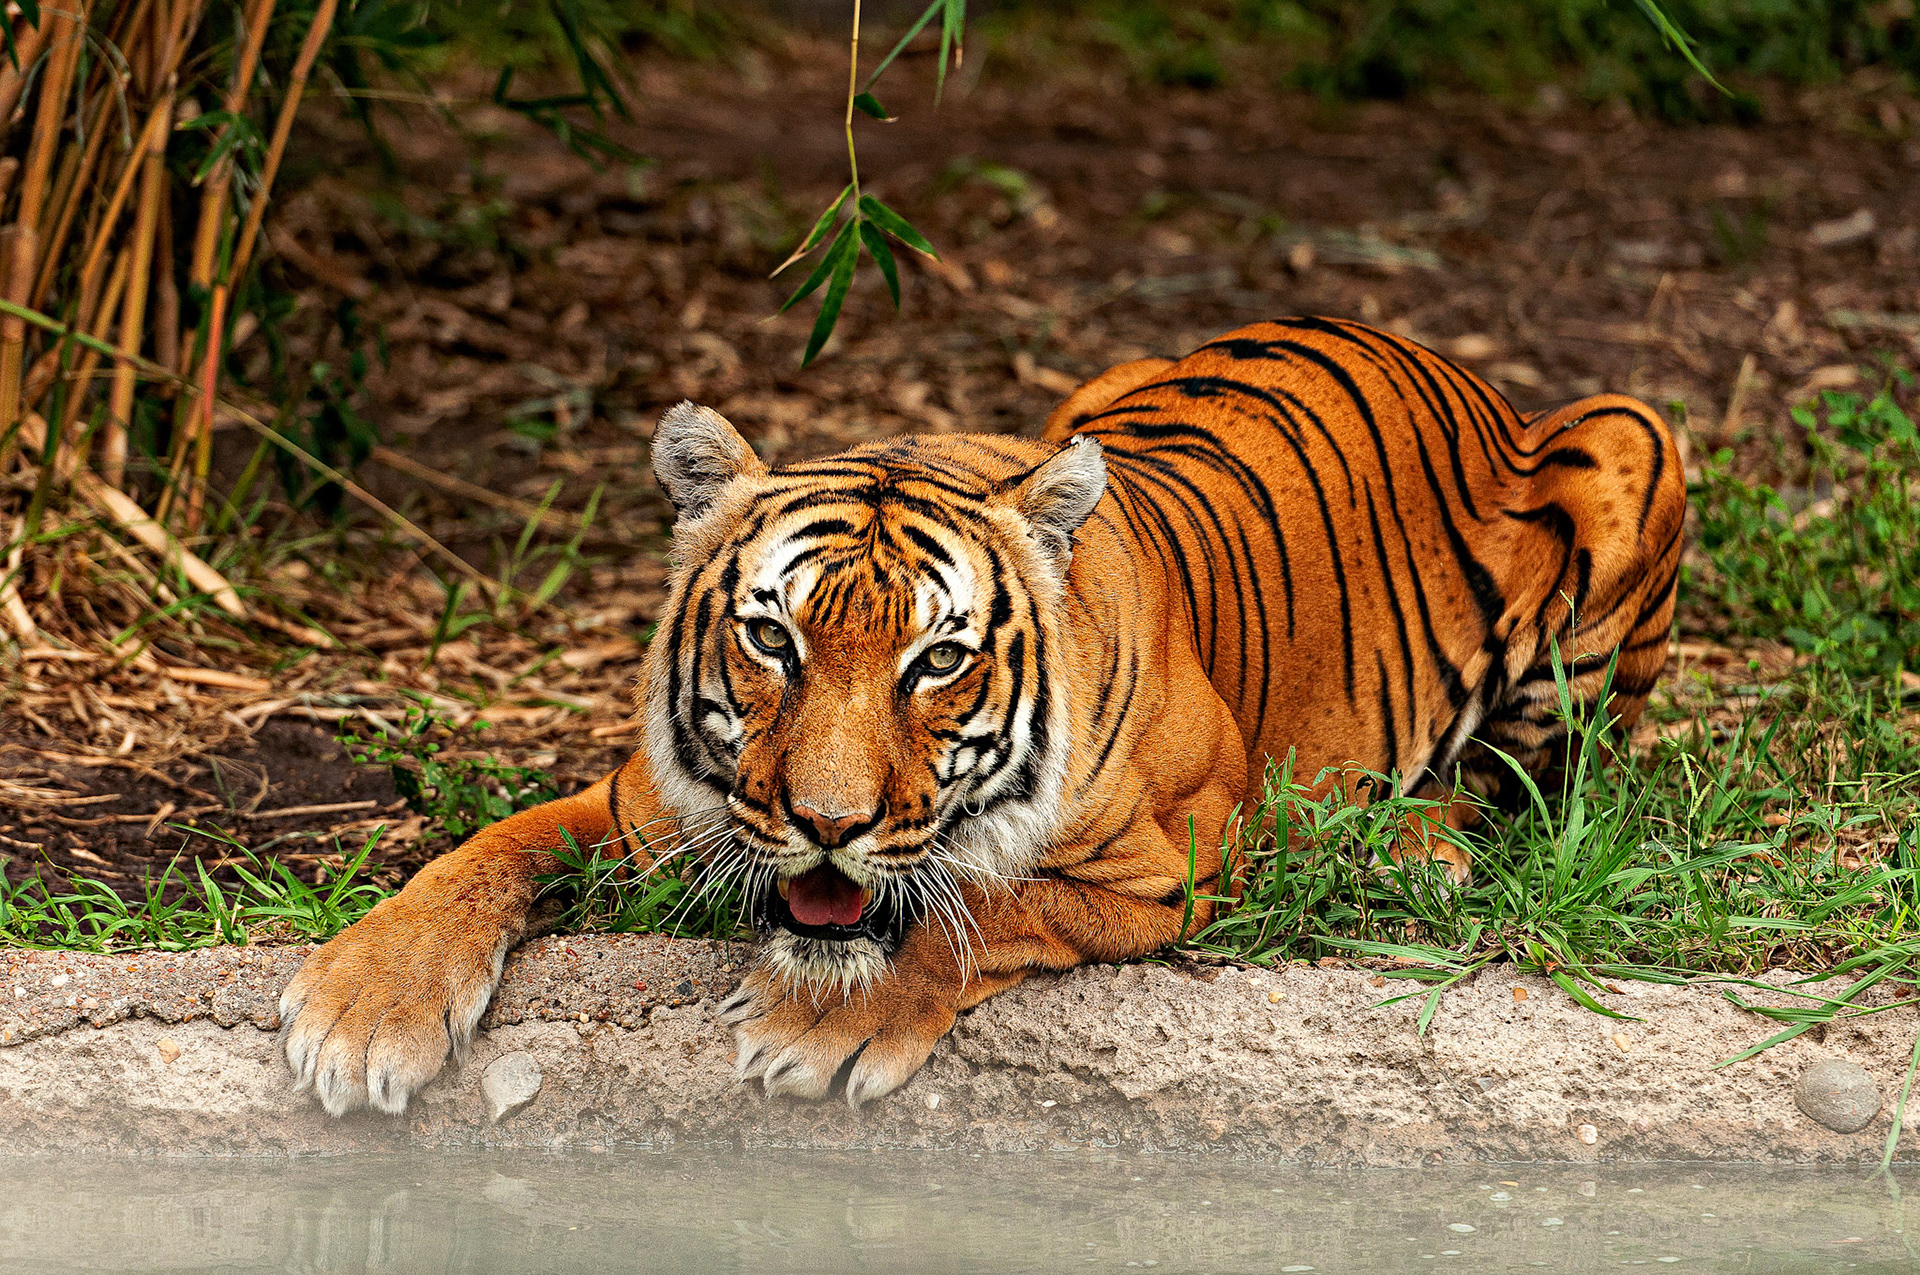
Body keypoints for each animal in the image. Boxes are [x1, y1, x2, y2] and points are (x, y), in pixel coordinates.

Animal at [279, 316, 1685, 1115]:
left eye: (938, 660)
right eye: (772, 637)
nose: (826, 825)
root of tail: (1450, 367)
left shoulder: (1176, 860)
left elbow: (990, 910)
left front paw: (820, 1024)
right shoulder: (643, 806)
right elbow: (482, 854)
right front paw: (362, 1005)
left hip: (1633, 444)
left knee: (1529, 781)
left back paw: (1421, 847)